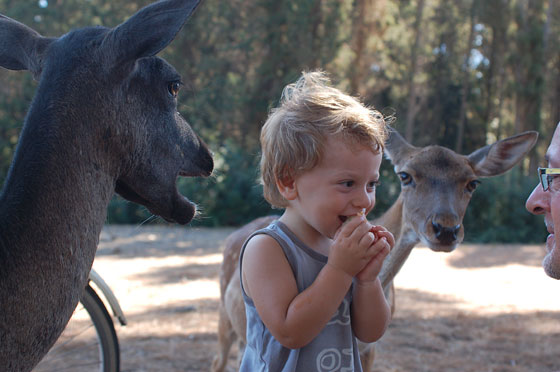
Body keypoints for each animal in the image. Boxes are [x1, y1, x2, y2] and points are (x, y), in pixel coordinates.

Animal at [211, 126, 540, 370]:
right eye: (405, 176)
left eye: (472, 183)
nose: (446, 229)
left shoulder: (371, 346)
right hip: (224, 316)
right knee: (218, 360)